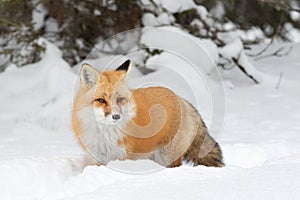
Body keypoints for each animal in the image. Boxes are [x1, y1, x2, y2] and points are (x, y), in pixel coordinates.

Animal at [72, 59, 223, 167]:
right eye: (101, 100)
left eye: (119, 99)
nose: (116, 116)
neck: (105, 135)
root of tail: (180, 98)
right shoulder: (98, 158)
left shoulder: (123, 158)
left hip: (167, 157)